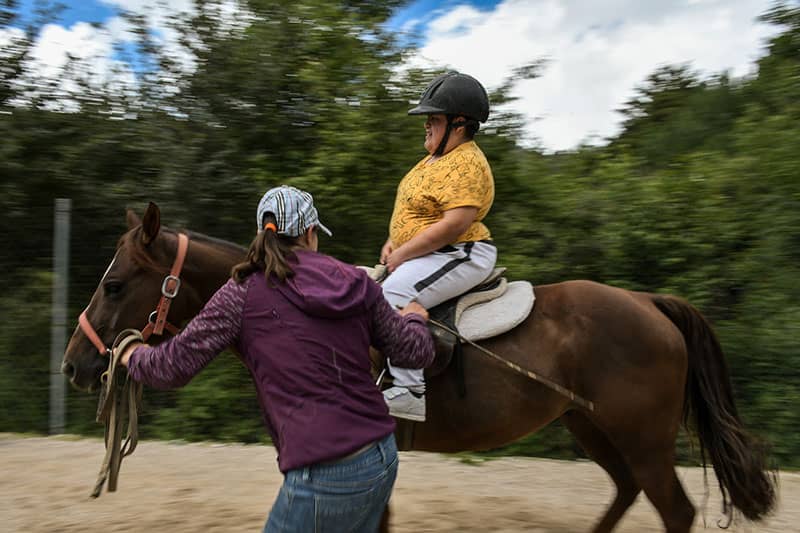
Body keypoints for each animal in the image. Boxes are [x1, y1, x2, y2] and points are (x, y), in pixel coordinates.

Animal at [62, 203, 776, 528]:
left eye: (116, 284)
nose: (74, 364)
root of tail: (648, 303)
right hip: (591, 426)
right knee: (626, 493)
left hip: (642, 438)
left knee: (673, 510)